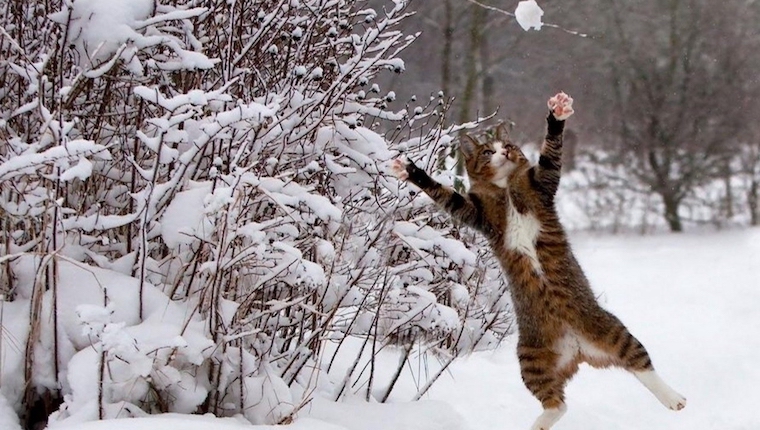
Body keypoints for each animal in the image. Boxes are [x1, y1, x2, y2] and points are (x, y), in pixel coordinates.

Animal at [388, 92, 684, 428]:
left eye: (508, 145)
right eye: (488, 151)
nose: (504, 150)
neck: (505, 187)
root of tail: (578, 349)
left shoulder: (542, 183)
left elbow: (551, 155)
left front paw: (557, 113)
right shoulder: (476, 213)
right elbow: (446, 195)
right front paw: (411, 171)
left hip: (611, 329)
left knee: (641, 366)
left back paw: (674, 399)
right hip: (531, 361)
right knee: (557, 403)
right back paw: (539, 423)